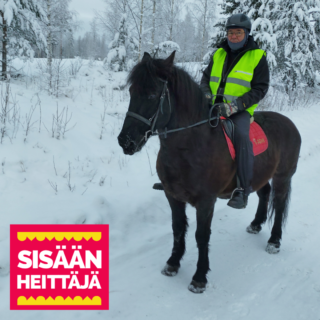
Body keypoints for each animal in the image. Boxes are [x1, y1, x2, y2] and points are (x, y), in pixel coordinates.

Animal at [117, 51, 300, 294]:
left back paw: (274, 241)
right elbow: (178, 229)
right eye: (131, 92)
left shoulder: (206, 201)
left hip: (283, 176)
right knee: (264, 193)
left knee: (278, 205)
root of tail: (289, 123)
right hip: (260, 175)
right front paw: (173, 263)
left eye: (152, 94)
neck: (192, 145)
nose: (125, 141)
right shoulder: (173, 196)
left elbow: (201, 236)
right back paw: (255, 224)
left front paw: (199, 277)